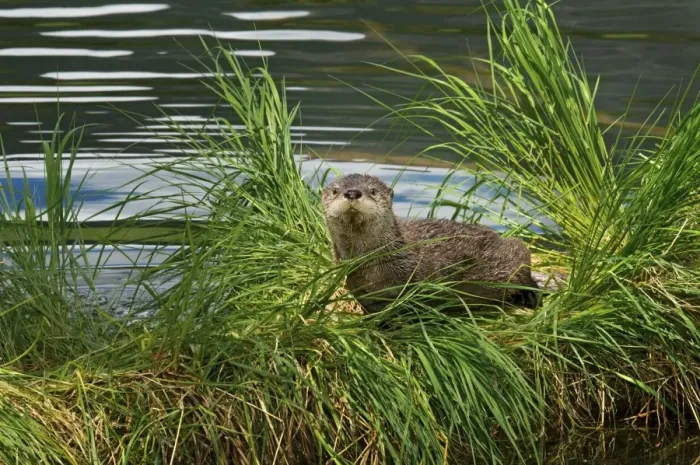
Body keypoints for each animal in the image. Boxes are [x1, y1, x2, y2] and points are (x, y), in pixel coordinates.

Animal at [321, 173, 540, 313]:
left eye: (373, 191)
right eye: (335, 191)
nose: (352, 193)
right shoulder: (357, 286)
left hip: (512, 254)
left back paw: (528, 295)